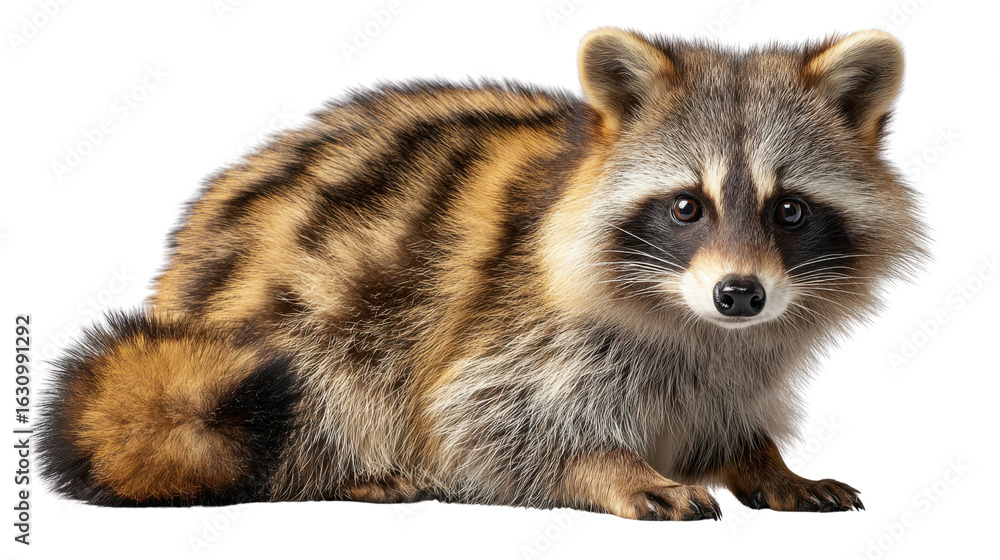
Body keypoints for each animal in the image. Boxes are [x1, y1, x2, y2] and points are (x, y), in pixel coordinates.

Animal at [38, 28, 926, 520]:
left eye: (789, 210)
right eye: (686, 207)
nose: (740, 294)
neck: (692, 317)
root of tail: (177, 286)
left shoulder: (740, 353)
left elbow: (728, 405)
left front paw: (762, 459)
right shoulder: (521, 319)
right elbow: (480, 423)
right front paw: (604, 466)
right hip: (290, 331)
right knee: (324, 389)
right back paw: (345, 470)